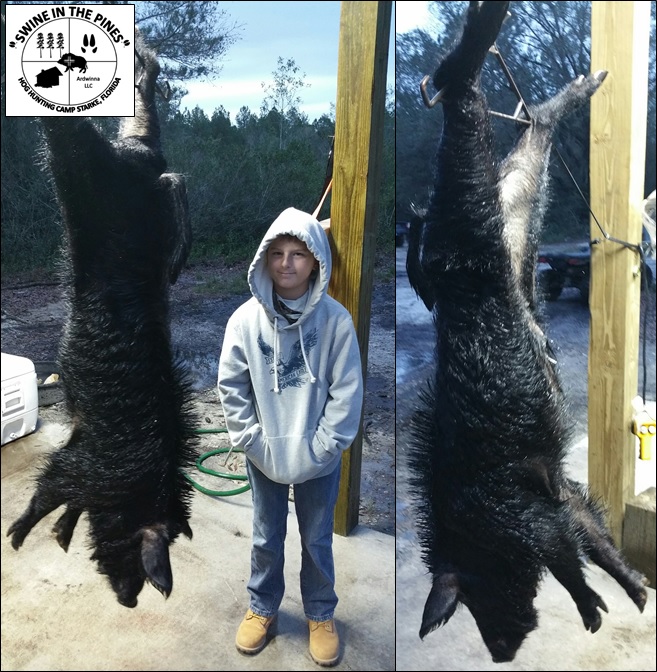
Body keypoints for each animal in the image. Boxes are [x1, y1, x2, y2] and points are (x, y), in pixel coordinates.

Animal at [7, 32, 198, 608]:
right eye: (142, 554)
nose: (132, 599)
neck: (137, 486)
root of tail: (143, 157)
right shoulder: (90, 466)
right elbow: (51, 484)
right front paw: (19, 537)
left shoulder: (84, 449)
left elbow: (65, 491)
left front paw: (60, 537)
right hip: (95, 174)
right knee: (76, 134)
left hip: (114, 172)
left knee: (144, 135)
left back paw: (145, 63)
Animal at [406, 0, 648, 662]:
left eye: (476, 601)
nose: (500, 654)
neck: (473, 531)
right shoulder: (554, 493)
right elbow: (588, 534)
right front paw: (636, 597)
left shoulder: (520, 515)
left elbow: (566, 555)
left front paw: (596, 612)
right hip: (509, 201)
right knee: (532, 125)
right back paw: (583, 83)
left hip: (467, 222)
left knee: (464, 93)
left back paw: (481, 36)